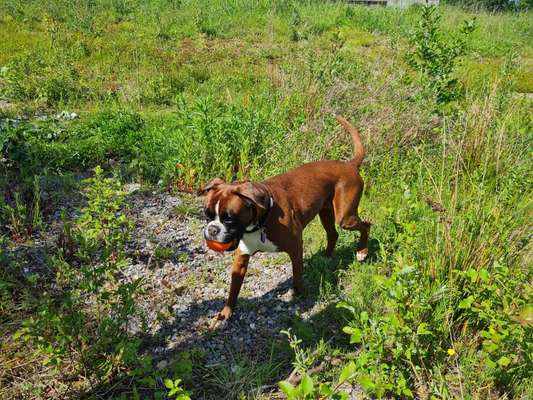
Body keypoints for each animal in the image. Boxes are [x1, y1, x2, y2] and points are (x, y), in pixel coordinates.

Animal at [197, 116, 368, 324]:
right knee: (333, 234)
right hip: (326, 213)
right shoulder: (241, 259)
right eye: (207, 215)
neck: (260, 222)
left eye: (229, 219)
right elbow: (233, 289)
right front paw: (226, 312)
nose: (212, 229)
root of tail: (349, 165)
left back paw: (362, 251)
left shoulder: (295, 247)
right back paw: (327, 257)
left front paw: (298, 294)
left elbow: (297, 274)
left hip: (345, 218)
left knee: (366, 225)